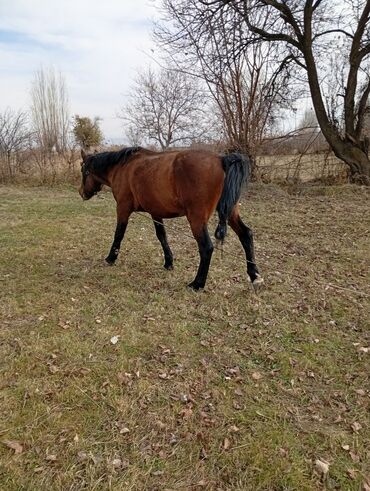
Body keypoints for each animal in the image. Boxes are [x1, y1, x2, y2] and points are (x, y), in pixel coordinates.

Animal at [79, 148, 264, 290]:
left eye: (83, 171)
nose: (81, 193)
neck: (122, 167)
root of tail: (222, 159)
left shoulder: (123, 209)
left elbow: (119, 234)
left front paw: (111, 258)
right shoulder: (155, 212)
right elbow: (162, 236)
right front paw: (168, 262)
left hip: (197, 220)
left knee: (206, 247)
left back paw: (197, 284)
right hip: (230, 212)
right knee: (246, 235)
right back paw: (254, 275)